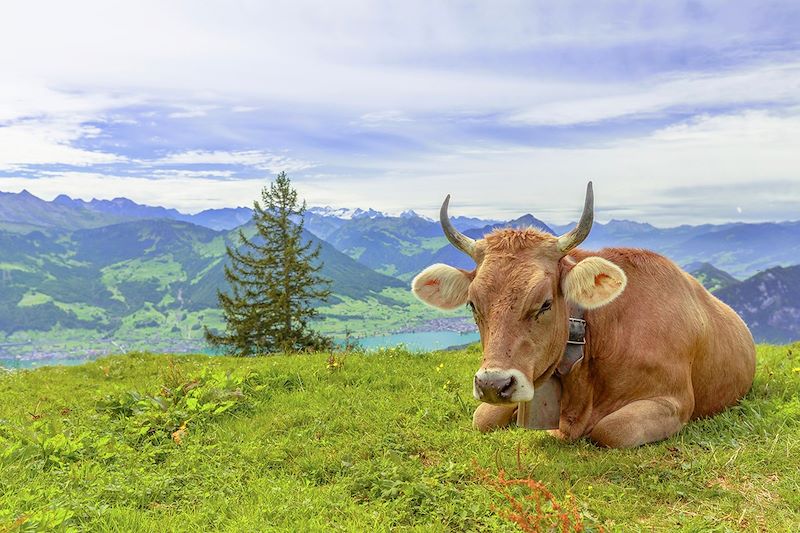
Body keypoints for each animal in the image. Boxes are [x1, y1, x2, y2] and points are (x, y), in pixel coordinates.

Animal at [412, 183, 756, 444]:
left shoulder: (674, 401)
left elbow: (611, 430)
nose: (494, 385)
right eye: (472, 304)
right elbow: (482, 417)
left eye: (545, 303)